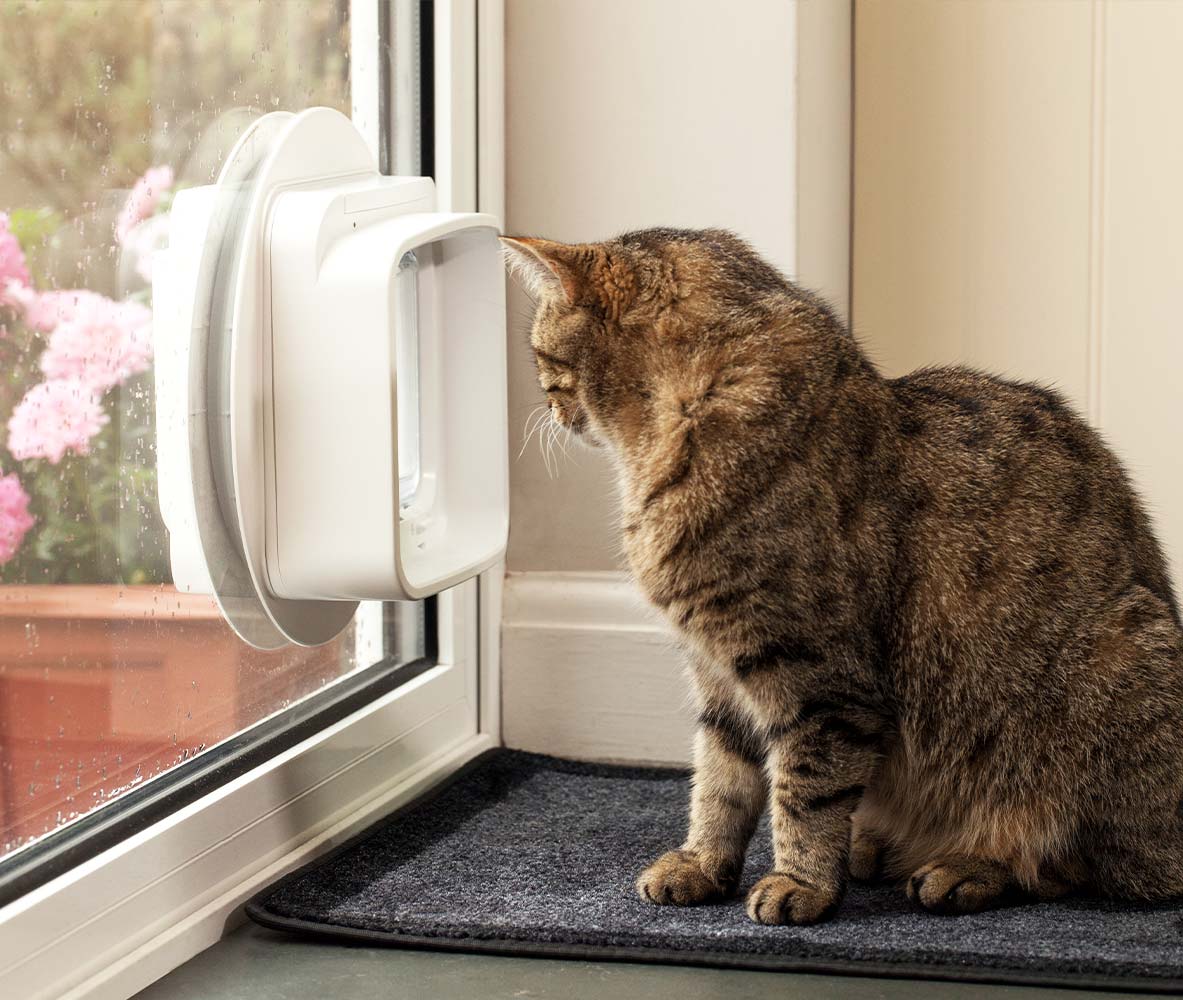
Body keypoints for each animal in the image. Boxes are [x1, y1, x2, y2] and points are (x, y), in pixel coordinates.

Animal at [499, 226, 1183, 923]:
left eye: (540, 354)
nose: (548, 407)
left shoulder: (820, 681)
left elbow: (804, 793)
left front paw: (800, 883)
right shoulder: (718, 676)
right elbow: (720, 783)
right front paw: (702, 864)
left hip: (1113, 672)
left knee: (1067, 863)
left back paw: (962, 867)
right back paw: (878, 848)